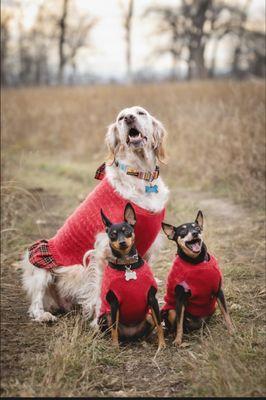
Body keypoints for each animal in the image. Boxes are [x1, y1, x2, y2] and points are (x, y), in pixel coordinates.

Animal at [21, 104, 169, 324]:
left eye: (140, 113)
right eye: (120, 118)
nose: (129, 118)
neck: (141, 176)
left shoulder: (146, 249)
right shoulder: (101, 252)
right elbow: (101, 290)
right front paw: (100, 318)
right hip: (40, 263)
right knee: (35, 302)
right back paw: (44, 315)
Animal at [97, 205, 165, 348]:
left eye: (127, 231)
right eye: (113, 235)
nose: (122, 242)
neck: (127, 264)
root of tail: (130, 336)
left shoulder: (152, 299)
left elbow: (159, 324)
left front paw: (162, 345)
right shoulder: (113, 303)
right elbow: (114, 328)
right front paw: (115, 347)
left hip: (148, 315)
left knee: (150, 328)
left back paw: (150, 340)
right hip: (104, 316)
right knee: (111, 329)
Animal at [160, 211, 233, 346]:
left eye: (197, 228)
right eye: (183, 231)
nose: (195, 233)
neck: (196, 262)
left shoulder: (218, 291)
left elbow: (226, 313)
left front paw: (232, 331)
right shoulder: (180, 298)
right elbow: (179, 324)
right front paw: (178, 340)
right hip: (171, 310)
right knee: (176, 325)